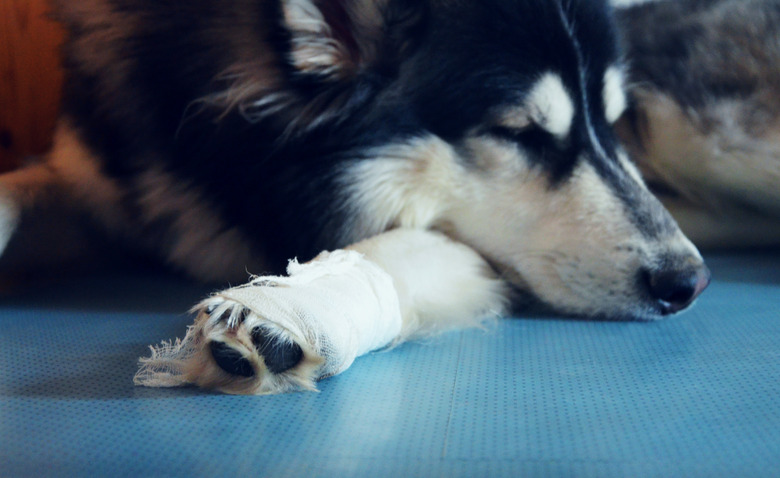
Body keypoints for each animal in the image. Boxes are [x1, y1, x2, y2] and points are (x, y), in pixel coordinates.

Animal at [0, 0, 724, 394]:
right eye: (519, 132)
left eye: (613, 121)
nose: (687, 282)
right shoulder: (98, 177)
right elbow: (20, 194)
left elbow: (395, 249)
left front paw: (284, 312)